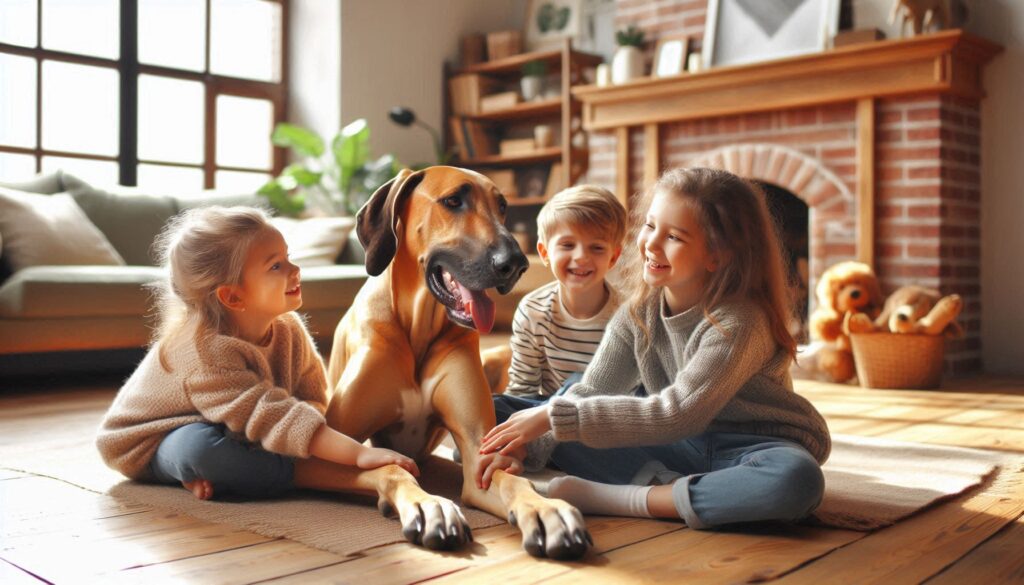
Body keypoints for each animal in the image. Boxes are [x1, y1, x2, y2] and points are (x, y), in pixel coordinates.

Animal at [319, 166, 593, 561]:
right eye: (452, 201)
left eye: (502, 206)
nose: (517, 264)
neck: (417, 328)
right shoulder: (312, 453)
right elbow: (391, 466)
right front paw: (429, 506)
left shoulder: (482, 453)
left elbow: (511, 480)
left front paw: (545, 509)